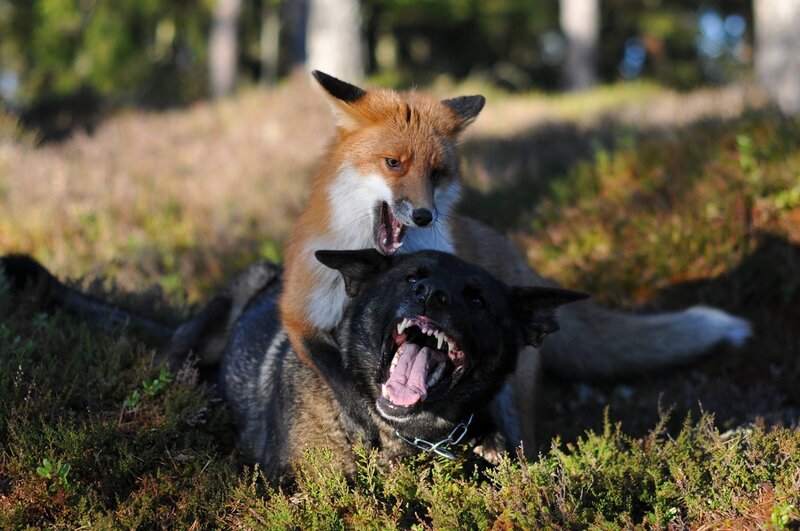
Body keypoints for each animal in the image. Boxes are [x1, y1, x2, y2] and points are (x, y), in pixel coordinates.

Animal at [280, 71, 752, 452]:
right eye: (393, 163)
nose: (425, 215)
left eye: (437, 173)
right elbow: (340, 376)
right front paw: (365, 422)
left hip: (514, 394)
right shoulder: (300, 311)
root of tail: (517, 259)